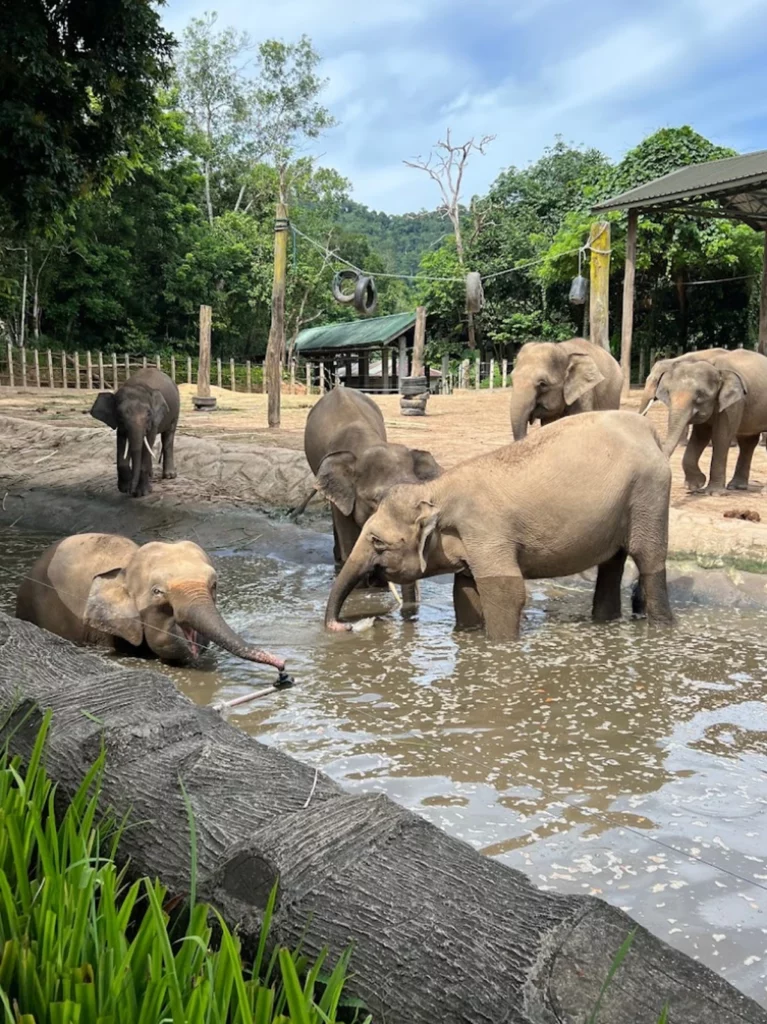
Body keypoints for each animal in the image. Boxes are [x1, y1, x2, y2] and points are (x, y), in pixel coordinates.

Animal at [89, 366, 179, 497]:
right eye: (120, 414)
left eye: (148, 414)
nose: (132, 491)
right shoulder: (120, 425)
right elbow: (123, 441)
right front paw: (124, 488)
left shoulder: (154, 420)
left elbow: (148, 440)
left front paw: (142, 492)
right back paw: (151, 475)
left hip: (175, 412)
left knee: (168, 436)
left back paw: (169, 476)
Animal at [323, 409, 671, 638]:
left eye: (377, 541)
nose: (343, 625)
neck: (437, 491)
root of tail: (648, 429)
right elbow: (464, 592)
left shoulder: (487, 531)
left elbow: (507, 591)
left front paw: (499, 646)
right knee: (612, 564)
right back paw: (604, 622)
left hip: (649, 494)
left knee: (648, 558)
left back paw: (661, 628)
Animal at [638, 346, 765, 493]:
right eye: (669, 392)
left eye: (701, 395)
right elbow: (700, 436)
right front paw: (695, 485)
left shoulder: (734, 404)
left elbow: (721, 437)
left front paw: (713, 492)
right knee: (748, 442)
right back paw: (737, 486)